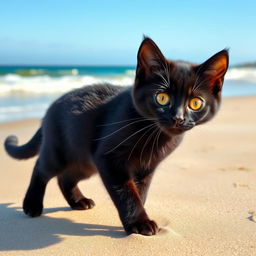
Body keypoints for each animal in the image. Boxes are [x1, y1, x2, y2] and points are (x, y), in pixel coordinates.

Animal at [4, 37, 229, 236]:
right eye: (162, 98)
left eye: (195, 103)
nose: (178, 118)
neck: (154, 136)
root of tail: (50, 108)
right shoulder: (108, 159)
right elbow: (126, 192)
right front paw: (139, 222)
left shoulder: (147, 168)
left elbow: (139, 192)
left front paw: (136, 219)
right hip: (60, 152)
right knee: (42, 168)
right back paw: (32, 205)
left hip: (85, 163)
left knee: (65, 178)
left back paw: (79, 202)